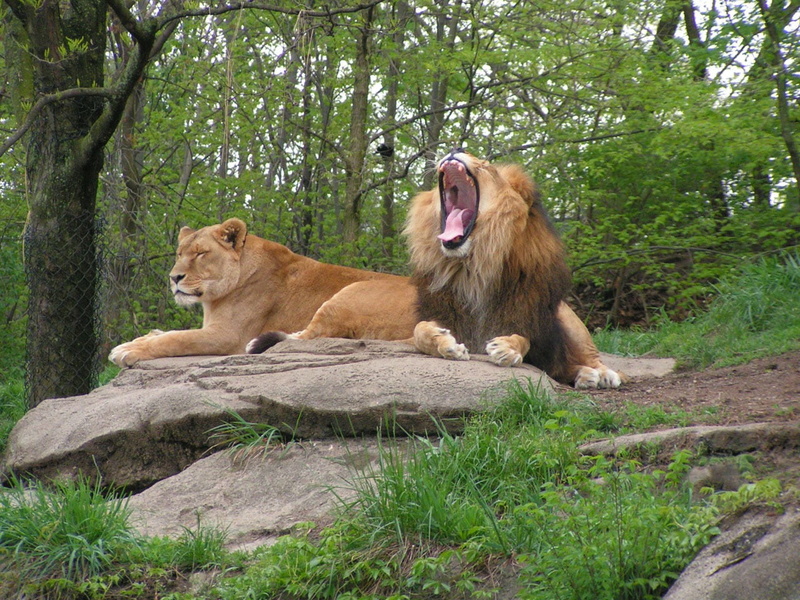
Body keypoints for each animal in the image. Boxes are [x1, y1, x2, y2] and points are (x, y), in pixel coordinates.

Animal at [109, 218, 417, 367]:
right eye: (179, 253)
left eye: (200, 254)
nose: (174, 278)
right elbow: (168, 333)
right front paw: (140, 338)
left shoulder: (227, 336)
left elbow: (175, 339)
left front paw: (128, 350)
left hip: (351, 291)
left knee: (309, 335)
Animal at [405, 150, 622, 389]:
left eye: (486, 166)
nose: (454, 149)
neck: (472, 268)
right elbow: (419, 330)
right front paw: (445, 342)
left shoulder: (533, 330)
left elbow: (524, 339)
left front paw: (506, 348)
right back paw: (585, 376)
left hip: (573, 326)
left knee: (591, 357)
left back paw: (603, 375)